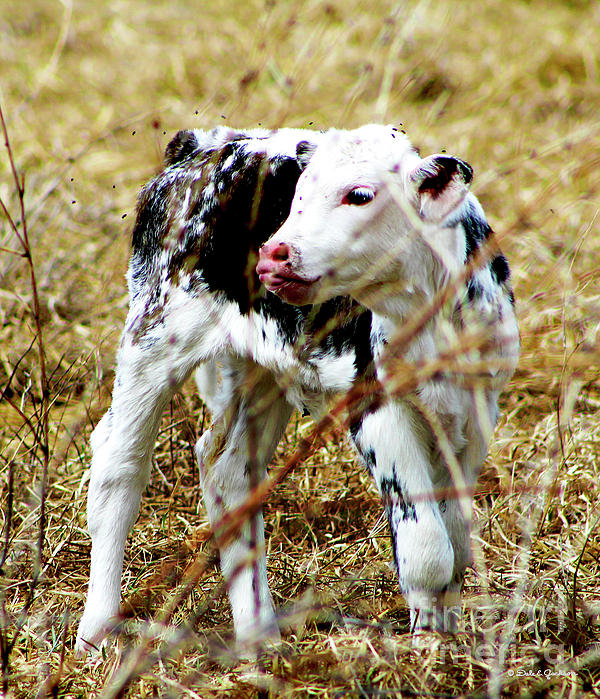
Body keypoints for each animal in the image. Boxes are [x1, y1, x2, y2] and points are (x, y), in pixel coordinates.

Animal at [76, 124, 520, 656]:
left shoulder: (477, 411)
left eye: (360, 195)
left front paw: (446, 640)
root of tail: (202, 144)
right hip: (155, 332)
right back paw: (97, 631)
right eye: (299, 195)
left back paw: (258, 636)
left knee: (226, 470)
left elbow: (456, 540)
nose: (274, 252)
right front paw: (425, 652)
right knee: (118, 468)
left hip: (260, 367)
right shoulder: (375, 403)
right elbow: (428, 549)